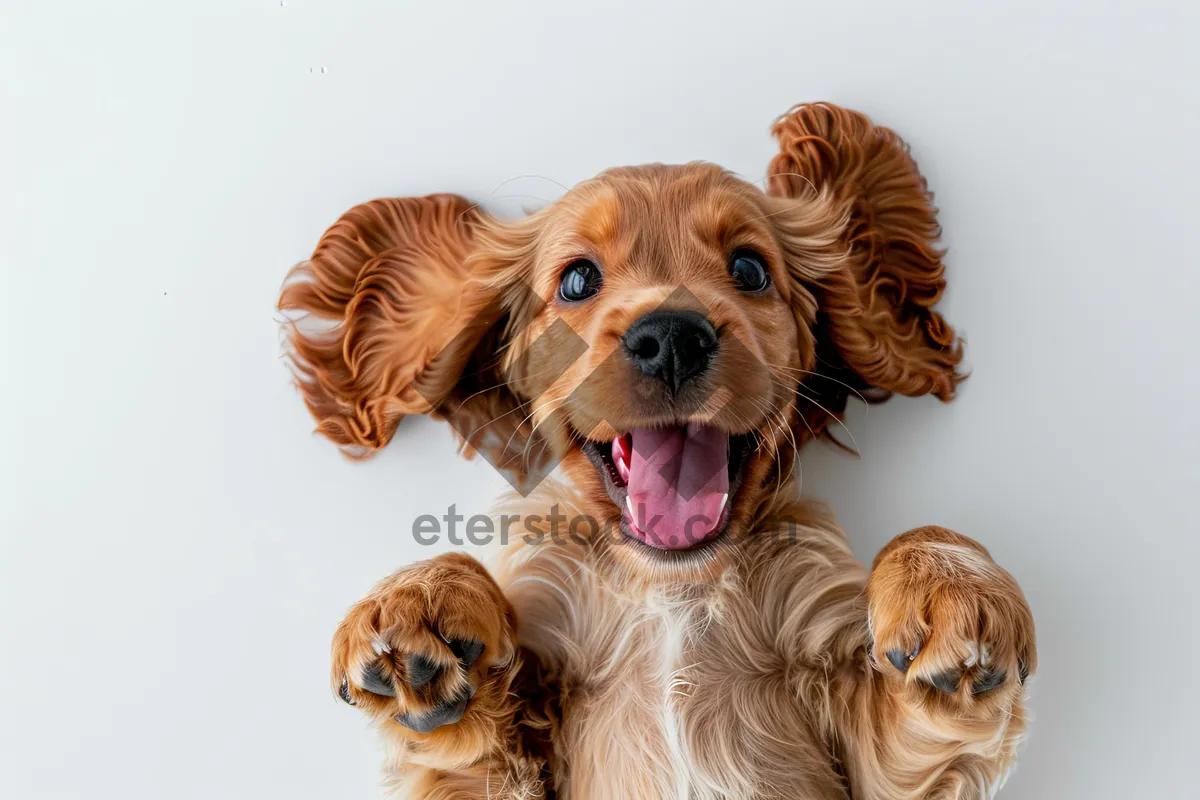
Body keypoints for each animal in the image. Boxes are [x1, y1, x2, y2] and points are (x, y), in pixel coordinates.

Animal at [278, 103, 1032, 796]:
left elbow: (924, 561)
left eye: (750, 268)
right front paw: (418, 610)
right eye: (577, 280)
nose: (671, 337)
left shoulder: (880, 766)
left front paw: (950, 590)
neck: (672, 588)